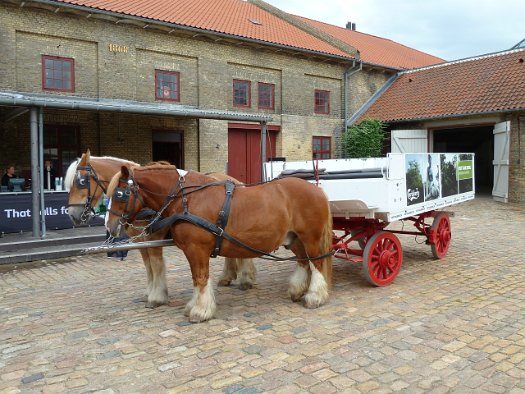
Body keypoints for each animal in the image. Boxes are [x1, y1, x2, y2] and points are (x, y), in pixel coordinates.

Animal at [105, 165, 332, 322]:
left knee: (316, 264)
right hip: (294, 239)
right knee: (303, 262)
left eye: (120, 194)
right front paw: (193, 306)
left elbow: (200, 277)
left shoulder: (196, 248)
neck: (187, 198)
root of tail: (317, 190)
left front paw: (200, 311)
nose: (110, 226)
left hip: (310, 238)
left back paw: (314, 297)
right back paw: (297, 291)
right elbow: (196, 279)